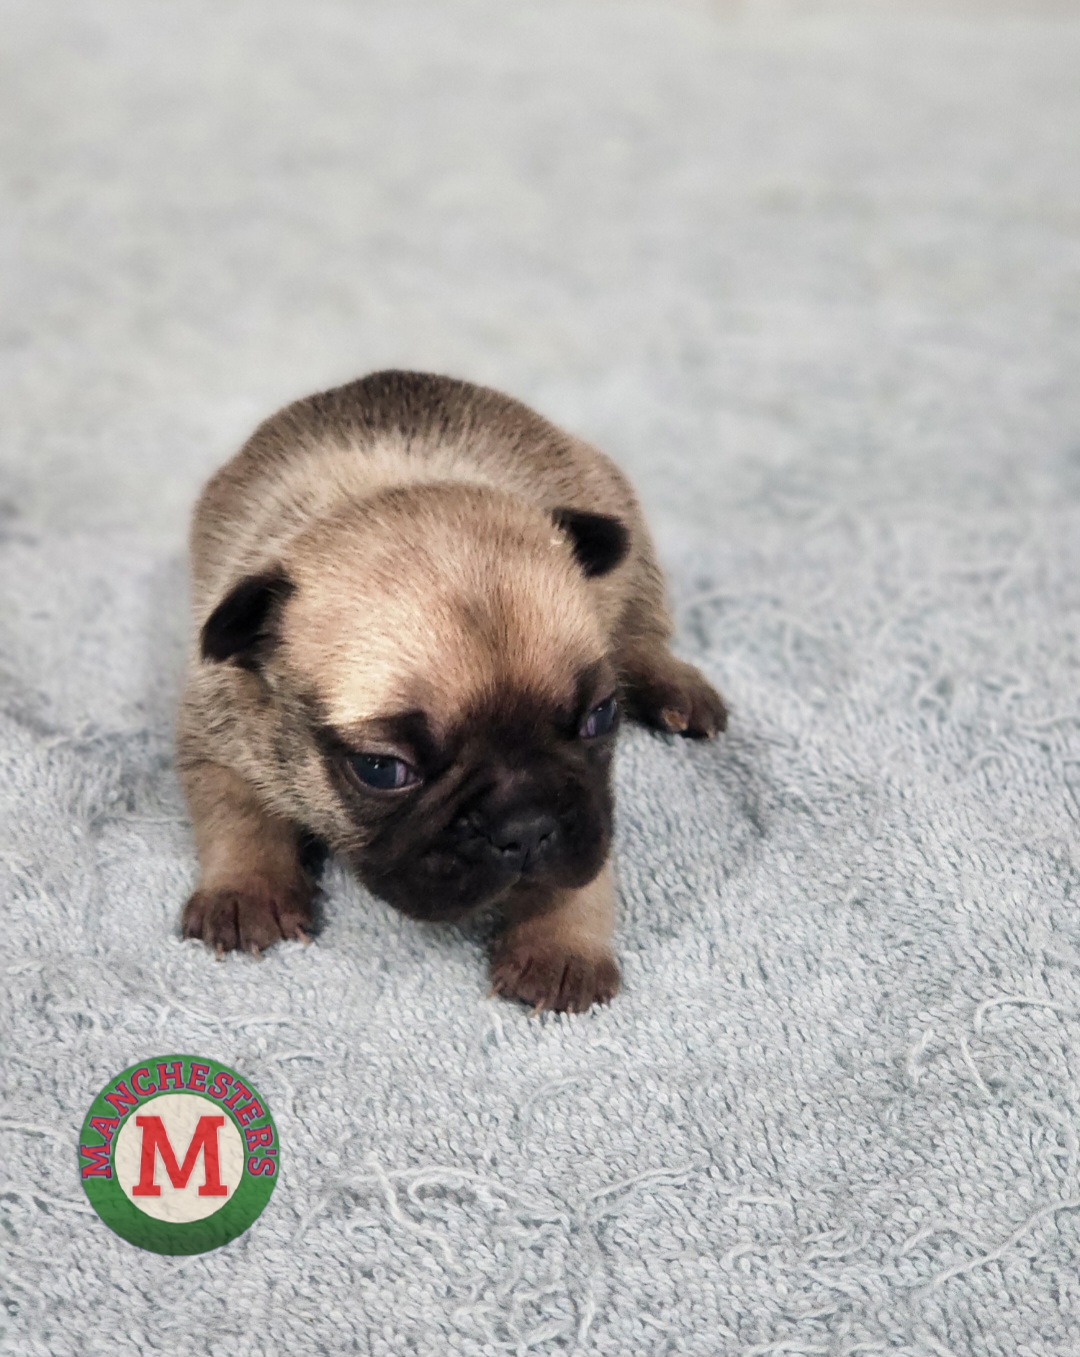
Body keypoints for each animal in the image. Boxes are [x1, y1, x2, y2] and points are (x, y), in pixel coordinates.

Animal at [177, 371, 725, 1011]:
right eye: (382, 770)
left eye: (600, 717)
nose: (525, 827)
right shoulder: (216, 732)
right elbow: (238, 814)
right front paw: (246, 891)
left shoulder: (589, 814)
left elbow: (578, 873)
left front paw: (560, 946)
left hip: (625, 535)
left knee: (641, 627)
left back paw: (675, 687)